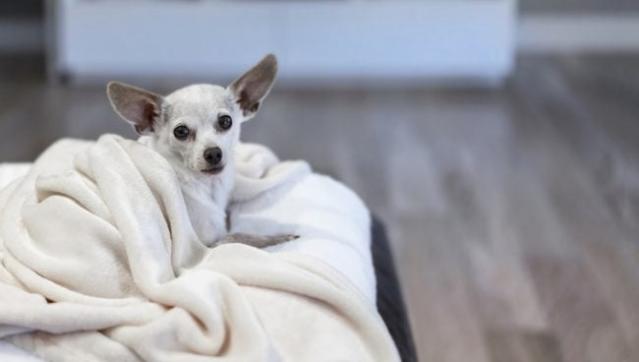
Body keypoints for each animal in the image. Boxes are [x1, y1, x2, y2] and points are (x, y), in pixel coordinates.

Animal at [106, 53, 296, 249]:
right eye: (181, 132)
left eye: (226, 121)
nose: (213, 153)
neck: (207, 186)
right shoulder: (207, 245)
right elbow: (237, 236)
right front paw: (276, 237)